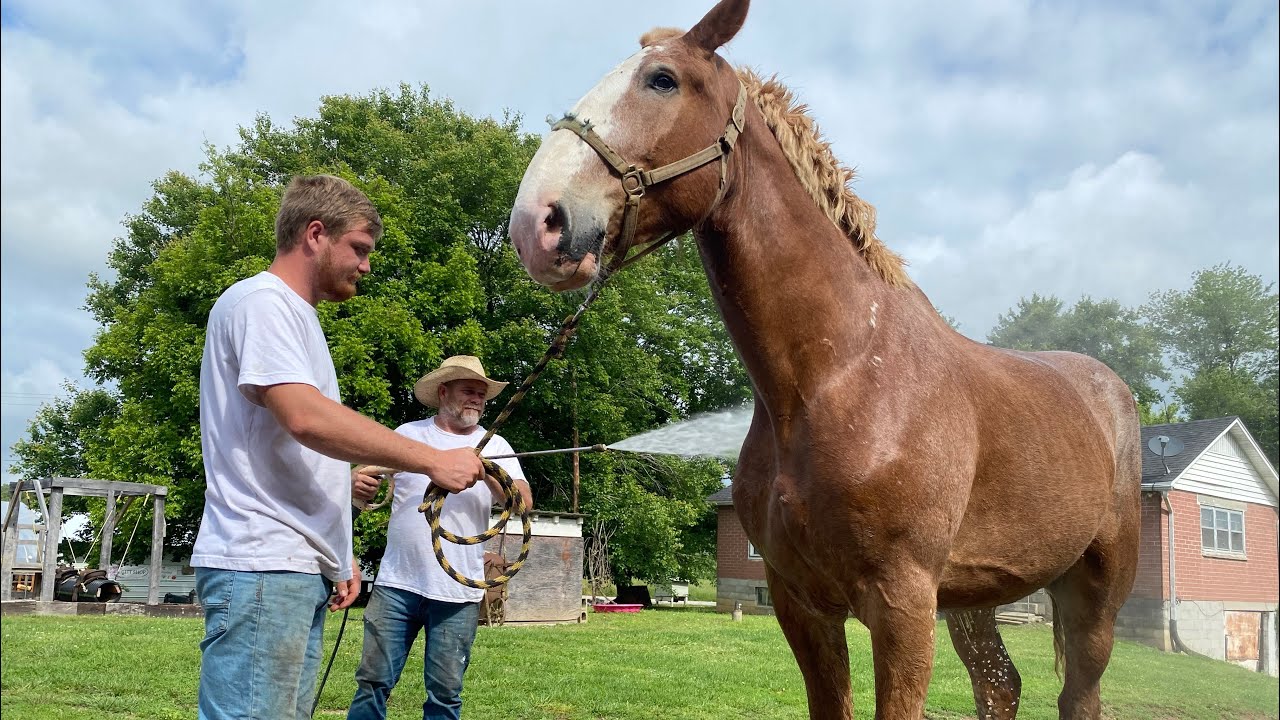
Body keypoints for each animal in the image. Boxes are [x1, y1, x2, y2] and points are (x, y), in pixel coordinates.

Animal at [508, 1, 1141, 717]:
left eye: (662, 80)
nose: (535, 223)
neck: (838, 377)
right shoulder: (802, 605)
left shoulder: (903, 605)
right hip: (975, 598)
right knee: (1000, 685)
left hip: (1094, 595)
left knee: (1078, 693)